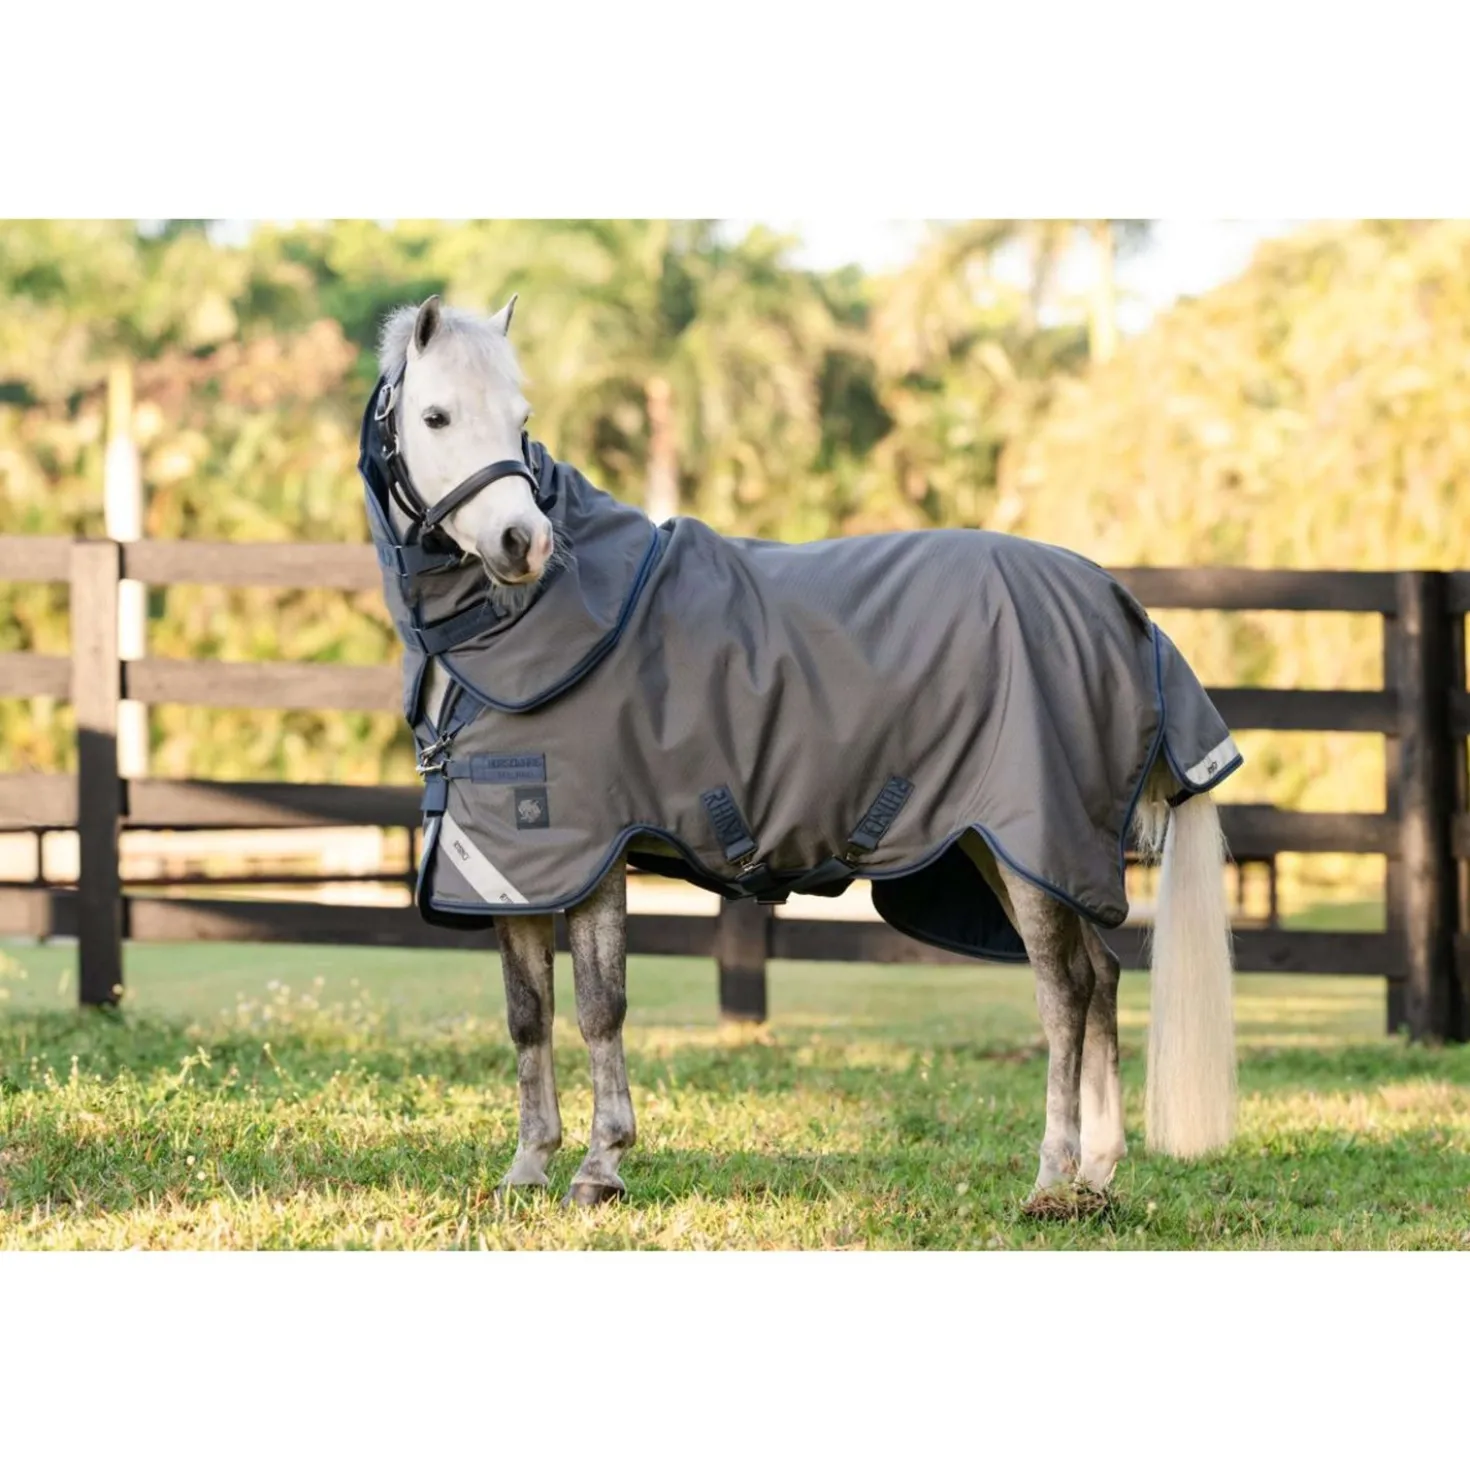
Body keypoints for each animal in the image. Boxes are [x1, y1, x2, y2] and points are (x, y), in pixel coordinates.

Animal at [363, 294, 1237, 1210]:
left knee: (1063, 992)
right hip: (1011, 848)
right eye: (436, 415)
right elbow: (528, 1013)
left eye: (520, 420)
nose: (521, 543)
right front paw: (529, 1165)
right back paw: (1095, 1176)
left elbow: (602, 1006)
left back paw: (1049, 1175)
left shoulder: (589, 854)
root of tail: (1119, 605)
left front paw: (601, 1166)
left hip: (1033, 843)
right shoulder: (512, 865)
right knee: (1100, 977)